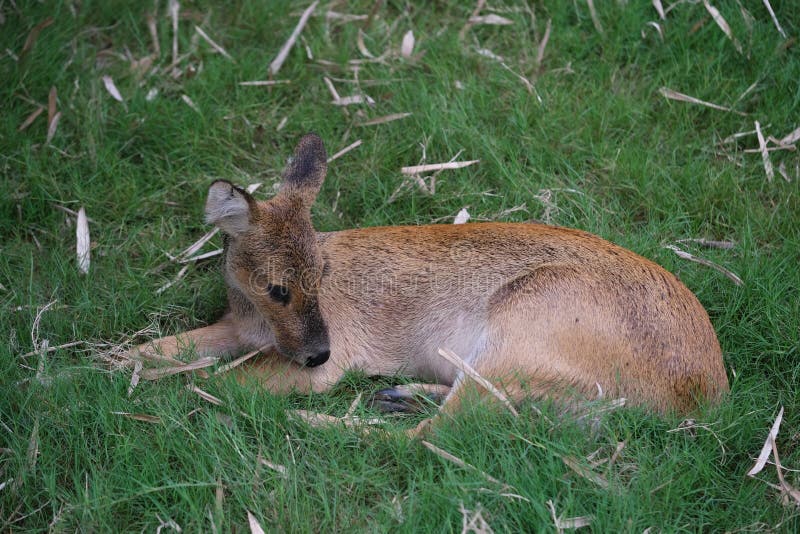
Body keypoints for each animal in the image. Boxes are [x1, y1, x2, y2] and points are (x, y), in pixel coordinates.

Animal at [130, 134, 724, 432]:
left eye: (321, 276)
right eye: (279, 288)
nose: (319, 352)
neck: (256, 321)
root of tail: (701, 394)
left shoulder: (325, 358)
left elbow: (221, 380)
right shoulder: (237, 328)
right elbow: (159, 349)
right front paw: (108, 369)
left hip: (523, 328)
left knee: (428, 440)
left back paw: (315, 420)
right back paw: (398, 395)